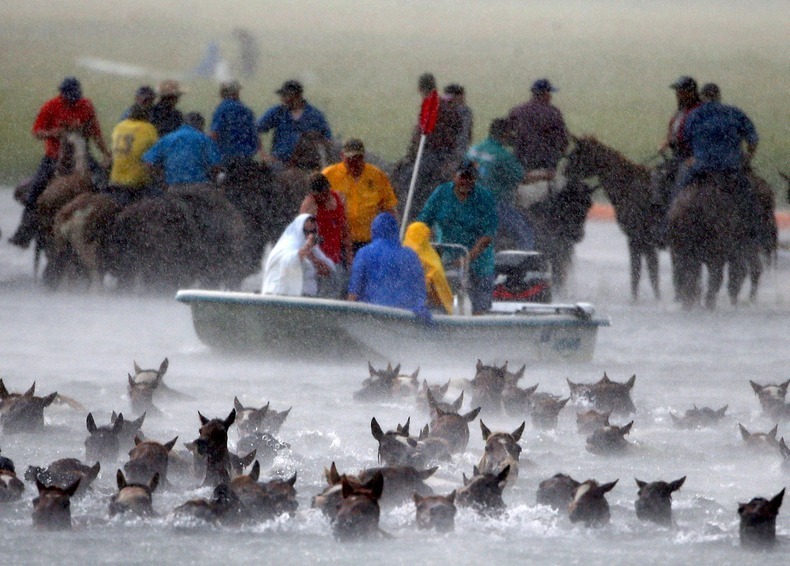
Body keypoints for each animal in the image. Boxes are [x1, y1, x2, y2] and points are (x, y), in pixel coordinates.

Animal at [568, 137, 664, 302]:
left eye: (577, 153)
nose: (565, 171)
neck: (626, 186)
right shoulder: (645, 241)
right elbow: (650, 273)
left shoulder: (637, 237)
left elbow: (639, 272)